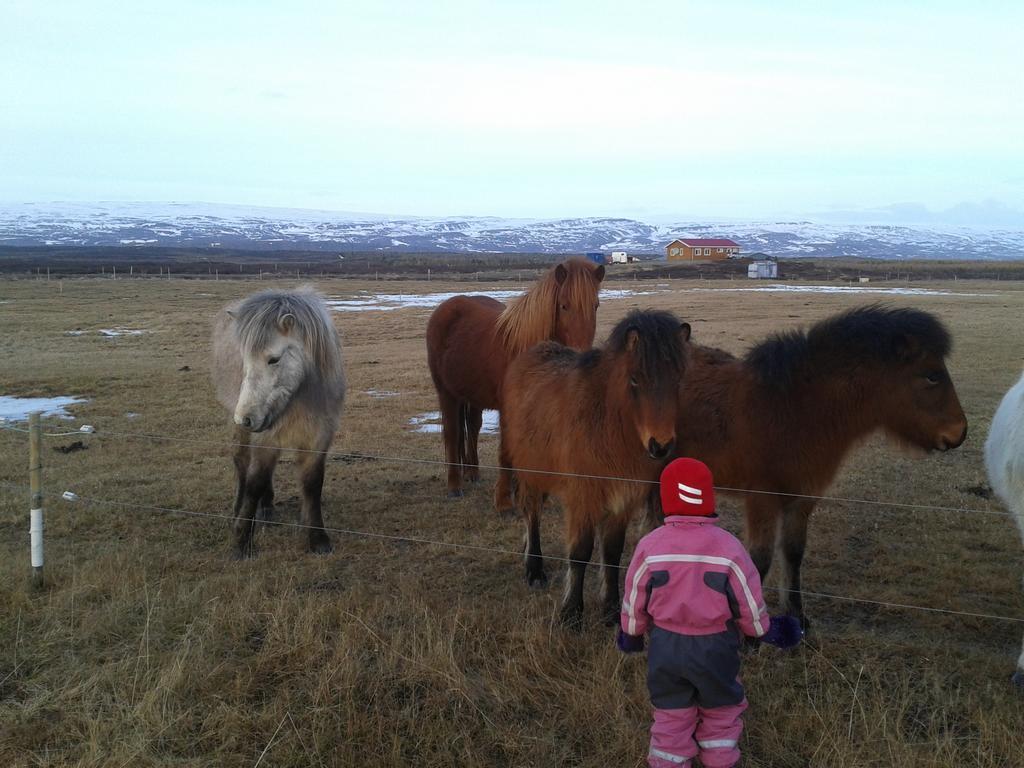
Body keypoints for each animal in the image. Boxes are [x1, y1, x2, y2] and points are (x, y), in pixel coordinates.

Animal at [421, 256, 598, 501]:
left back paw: (472, 473)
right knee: (452, 432)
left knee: (472, 428)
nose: (581, 356)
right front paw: (508, 496)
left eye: (595, 306)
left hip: (472, 394)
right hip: (446, 392)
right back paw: (454, 486)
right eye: (564, 306)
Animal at [501, 309, 692, 626]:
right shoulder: (584, 498)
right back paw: (534, 569)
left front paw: (612, 609)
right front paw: (572, 613)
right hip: (530, 474)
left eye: (678, 379)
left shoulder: (622, 500)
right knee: (532, 515)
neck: (608, 423)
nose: (661, 446)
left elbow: (612, 553)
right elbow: (580, 553)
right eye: (635, 379)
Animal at [671, 307, 966, 630]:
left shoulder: (802, 497)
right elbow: (759, 560)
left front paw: (797, 615)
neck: (793, 408)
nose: (960, 433)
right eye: (932, 376)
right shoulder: (762, 498)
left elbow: (793, 552)